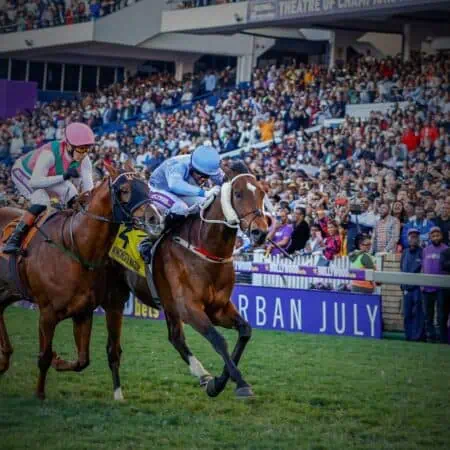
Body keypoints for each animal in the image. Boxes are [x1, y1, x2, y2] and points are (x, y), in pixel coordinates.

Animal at [0, 163, 157, 400]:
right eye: (125, 190)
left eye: (147, 186)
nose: (154, 217)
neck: (76, 247)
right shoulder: (47, 313)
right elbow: (44, 356)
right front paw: (39, 393)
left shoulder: (84, 311)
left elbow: (83, 360)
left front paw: (58, 361)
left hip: (10, 290)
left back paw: (4, 359)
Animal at [98, 162, 269, 400]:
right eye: (237, 193)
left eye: (262, 192)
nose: (260, 232)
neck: (205, 249)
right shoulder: (189, 307)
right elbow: (218, 339)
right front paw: (239, 383)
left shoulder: (218, 308)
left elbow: (245, 331)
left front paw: (218, 382)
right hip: (116, 296)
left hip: (169, 305)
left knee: (176, 338)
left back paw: (203, 375)